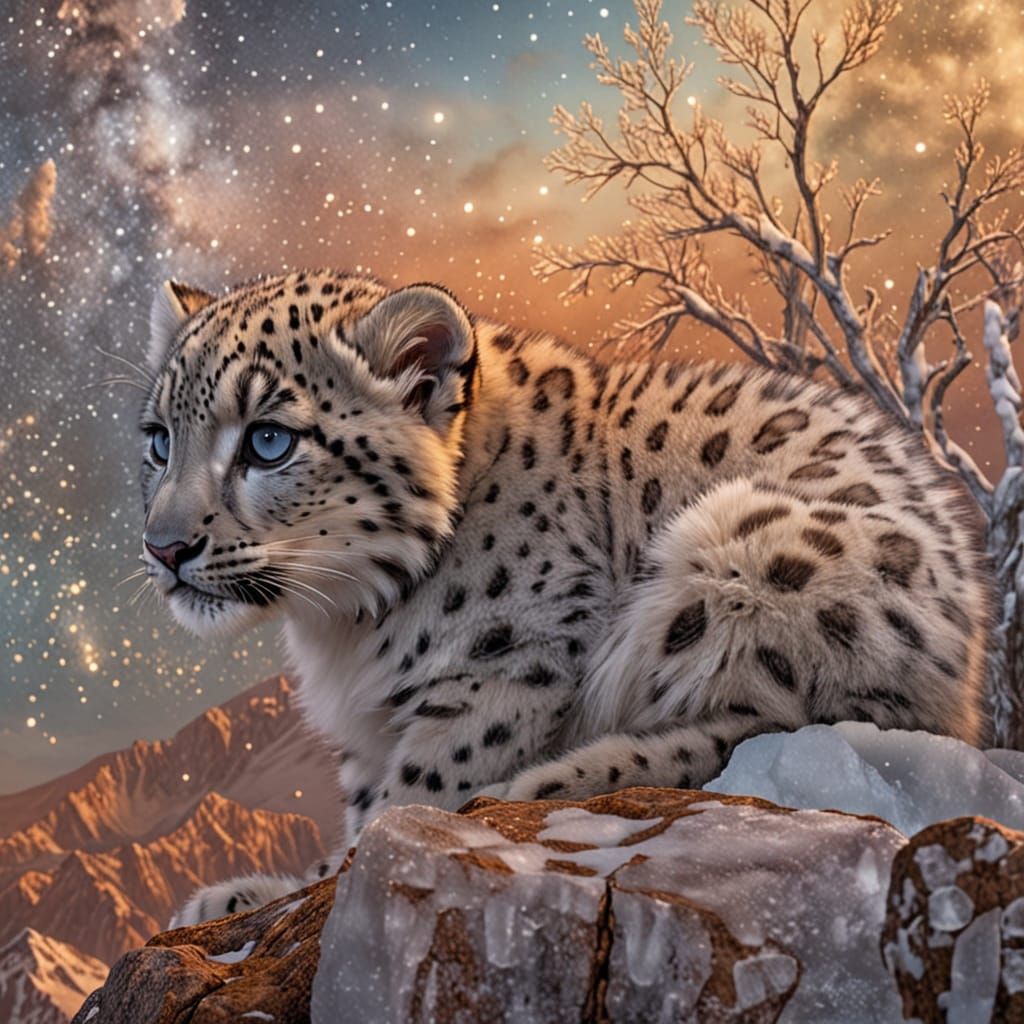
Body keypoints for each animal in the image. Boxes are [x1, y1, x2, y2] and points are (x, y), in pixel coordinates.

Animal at [138, 269, 992, 926]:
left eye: (269, 439)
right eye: (157, 439)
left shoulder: (507, 668)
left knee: (773, 720)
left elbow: (410, 800)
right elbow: (368, 799)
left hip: (748, 553)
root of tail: (964, 679)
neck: (343, 624)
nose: (163, 547)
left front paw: (282, 889)